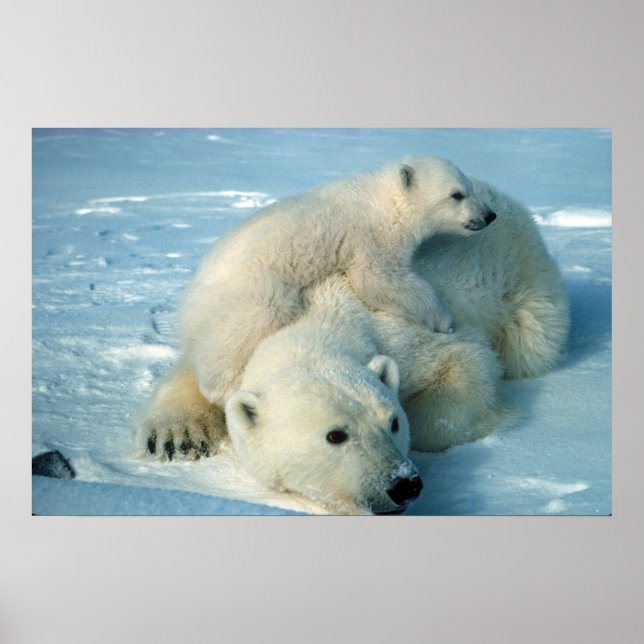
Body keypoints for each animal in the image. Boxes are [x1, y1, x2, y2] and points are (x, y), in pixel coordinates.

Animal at [180, 157, 498, 406]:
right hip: (252, 288)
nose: (489, 215)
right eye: (456, 194)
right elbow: (378, 279)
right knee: (251, 323)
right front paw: (444, 319)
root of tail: (191, 299)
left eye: (469, 188)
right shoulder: (372, 236)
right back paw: (224, 387)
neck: (385, 201)